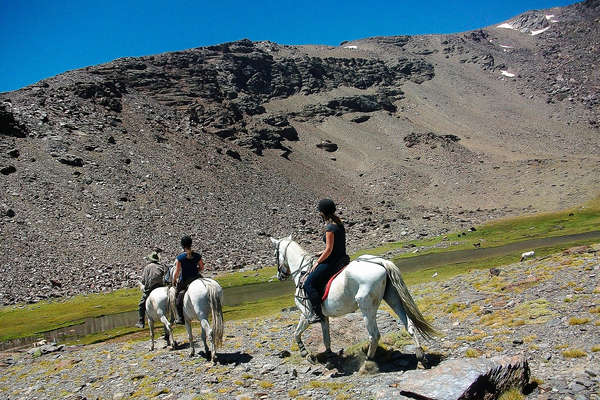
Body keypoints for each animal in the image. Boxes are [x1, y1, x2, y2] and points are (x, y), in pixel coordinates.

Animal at [272, 236, 436, 364]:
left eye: (275, 254)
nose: (280, 276)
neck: (303, 272)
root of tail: (379, 262)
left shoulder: (306, 314)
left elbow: (296, 333)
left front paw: (305, 353)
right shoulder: (323, 317)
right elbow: (326, 338)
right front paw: (329, 355)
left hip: (366, 308)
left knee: (374, 335)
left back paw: (368, 360)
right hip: (393, 299)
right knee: (409, 325)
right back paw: (420, 355)